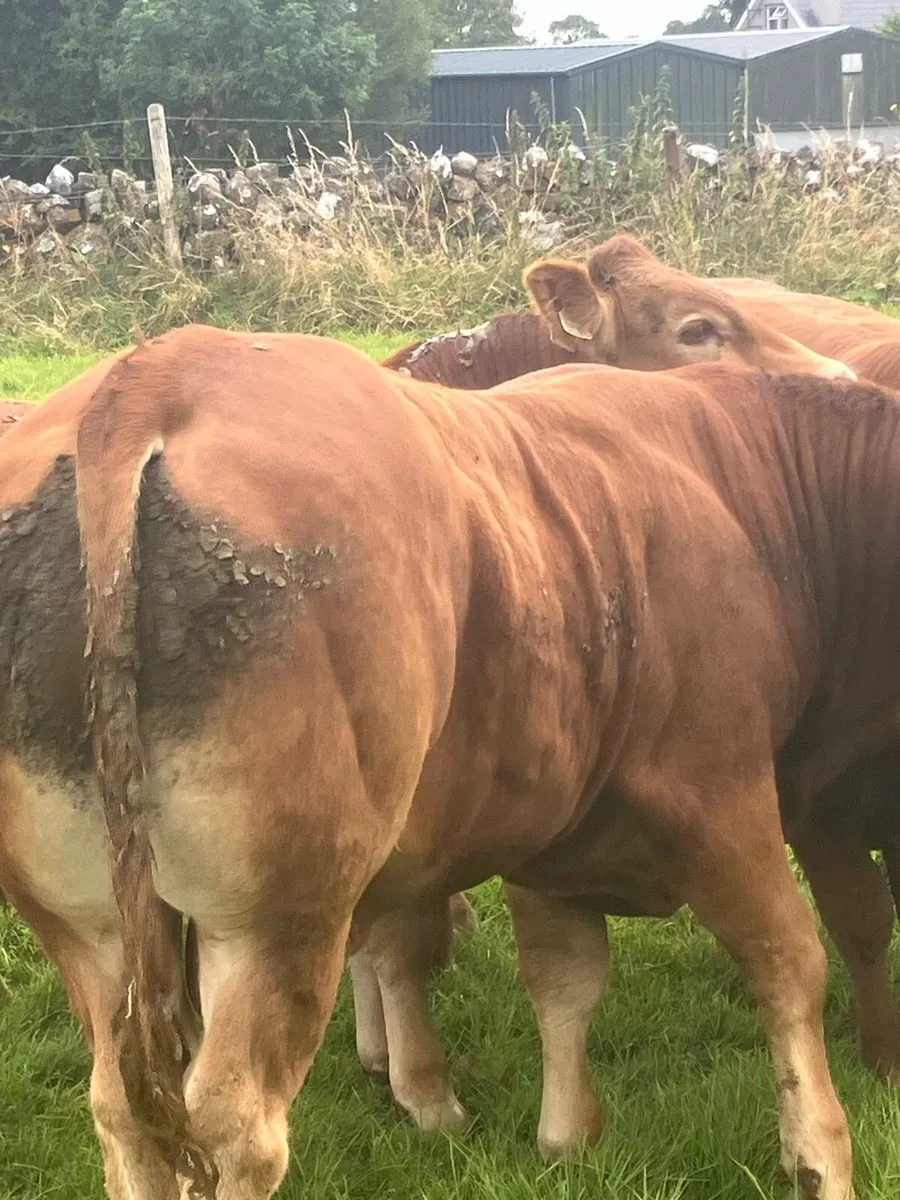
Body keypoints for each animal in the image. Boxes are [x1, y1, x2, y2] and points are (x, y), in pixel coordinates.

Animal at [5, 323, 895, 1199]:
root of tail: (152, 380)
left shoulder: (554, 831)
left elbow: (564, 977)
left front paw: (568, 1138)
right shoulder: (724, 790)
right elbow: (793, 961)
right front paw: (824, 1155)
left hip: (95, 932)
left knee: (125, 1114)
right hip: (277, 919)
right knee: (237, 1125)